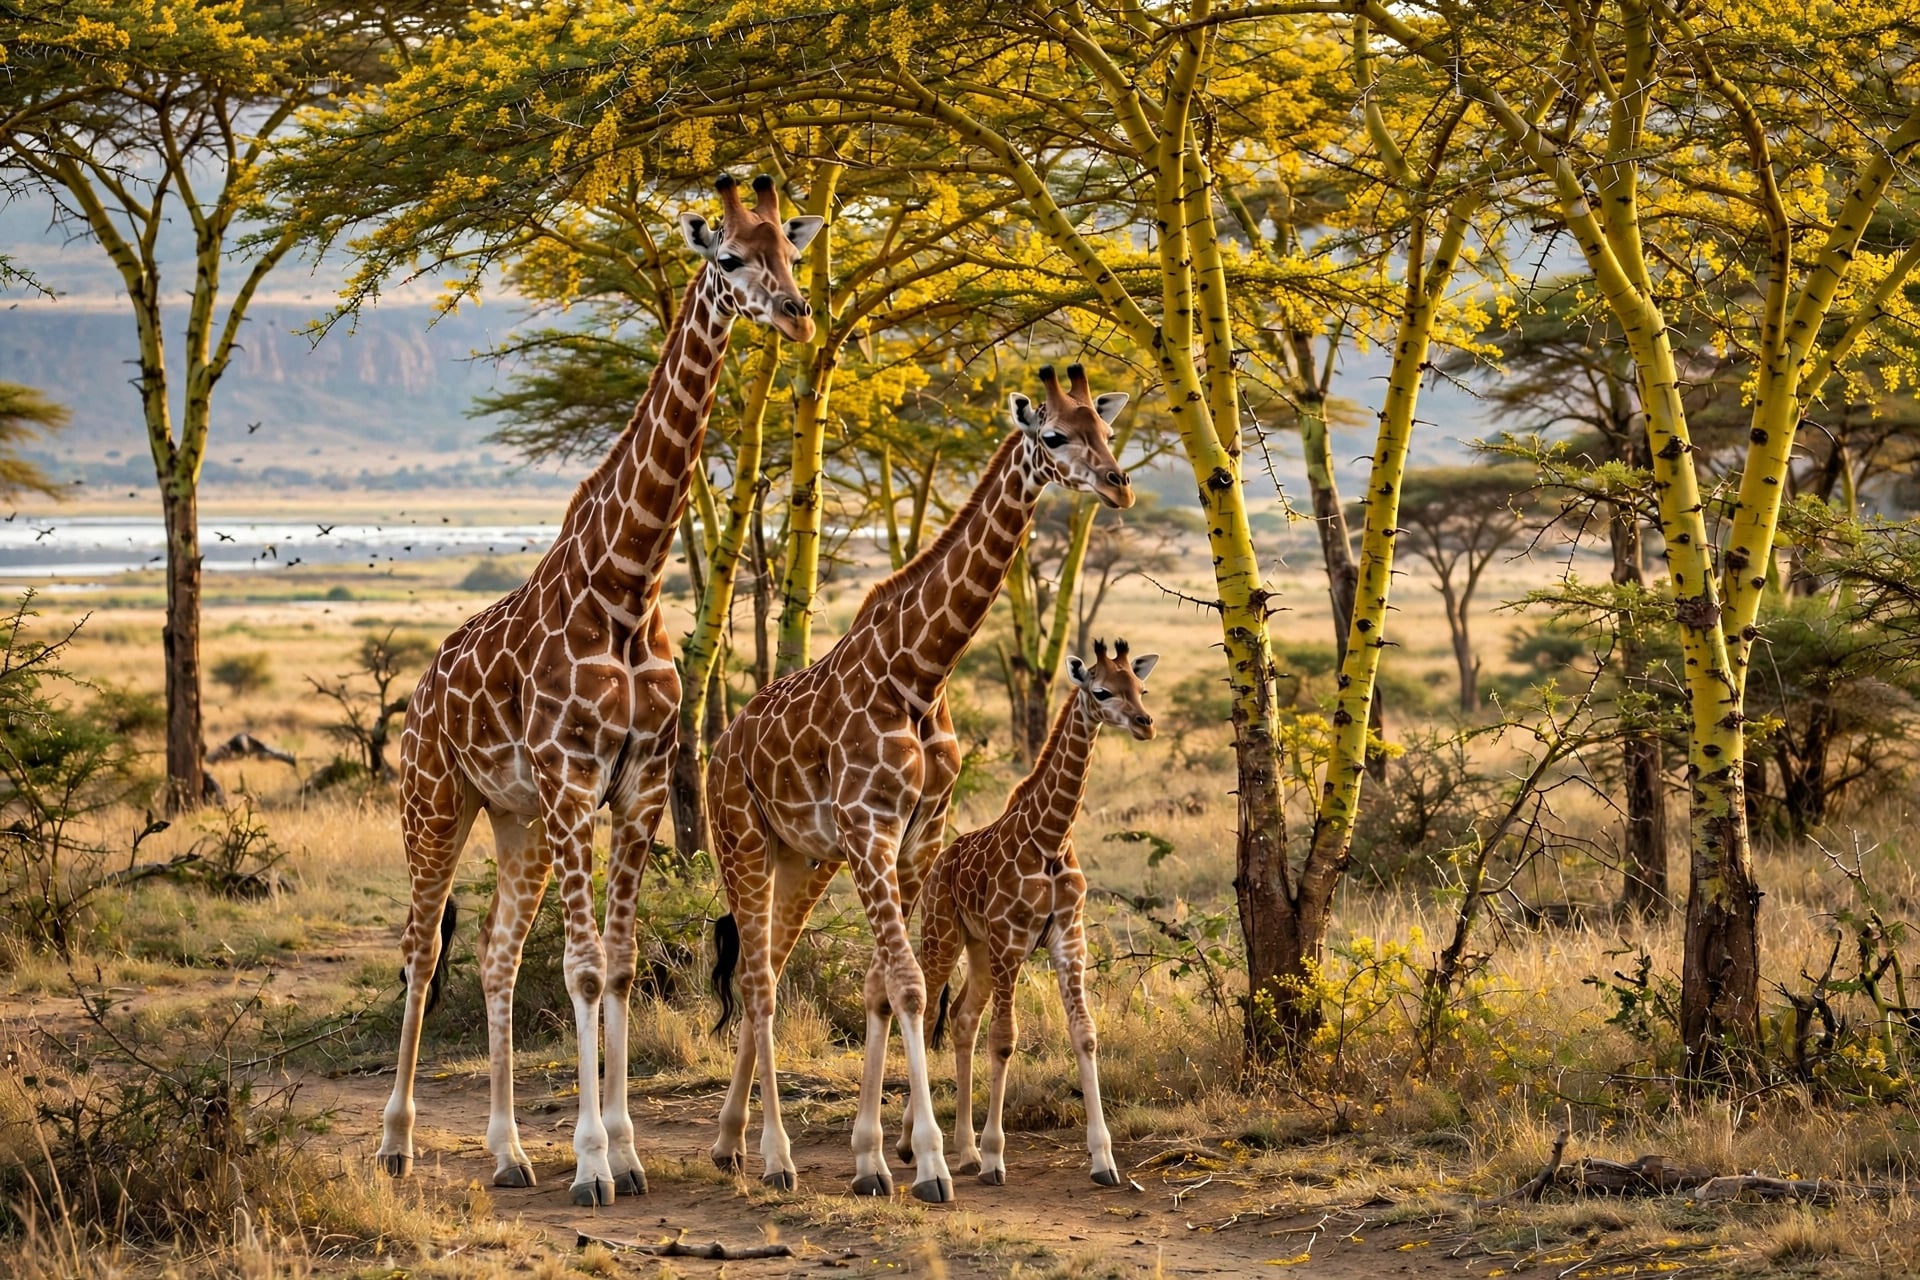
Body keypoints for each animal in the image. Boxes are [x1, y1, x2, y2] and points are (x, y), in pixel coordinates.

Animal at [376, 173, 823, 1208]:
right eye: (728, 257)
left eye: (792, 249)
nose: (795, 312)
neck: (628, 583)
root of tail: (420, 689)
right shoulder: (577, 779)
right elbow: (581, 972)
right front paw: (589, 1163)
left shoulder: (640, 785)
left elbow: (617, 968)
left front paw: (621, 1149)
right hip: (436, 800)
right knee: (422, 952)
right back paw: (397, 1142)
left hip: (518, 820)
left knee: (495, 955)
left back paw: (508, 1152)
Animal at [915, 638, 1157, 1188]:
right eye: (1101, 690)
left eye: (1141, 687)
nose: (1145, 723)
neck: (1051, 839)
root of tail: (941, 859)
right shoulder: (1011, 939)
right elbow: (1005, 1040)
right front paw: (995, 1158)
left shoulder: (1068, 940)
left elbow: (1085, 1035)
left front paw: (1104, 1161)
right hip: (944, 936)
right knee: (927, 1014)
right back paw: (915, 1147)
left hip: (979, 950)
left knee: (962, 1019)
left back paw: (963, 1152)